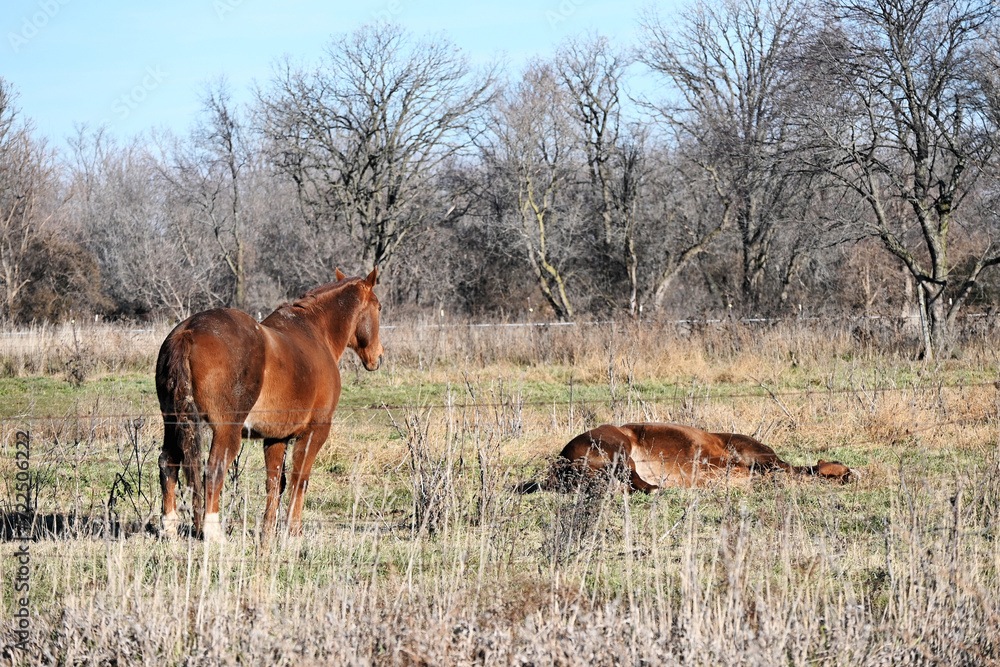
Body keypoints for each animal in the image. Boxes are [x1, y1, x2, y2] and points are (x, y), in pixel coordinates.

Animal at [156, 268, 383, 542]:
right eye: (379, 307)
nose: (378, 357)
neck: (315, 333)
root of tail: (188, 331)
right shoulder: (315, 431)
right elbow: (299, 479)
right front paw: (293, 531)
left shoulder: (276, 437)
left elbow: (275, 482)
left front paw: (268, 531)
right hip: (226, 431)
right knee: (213, 470)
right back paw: (214, 533)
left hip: (173, 422)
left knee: (168, 462)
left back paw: (169, 527)